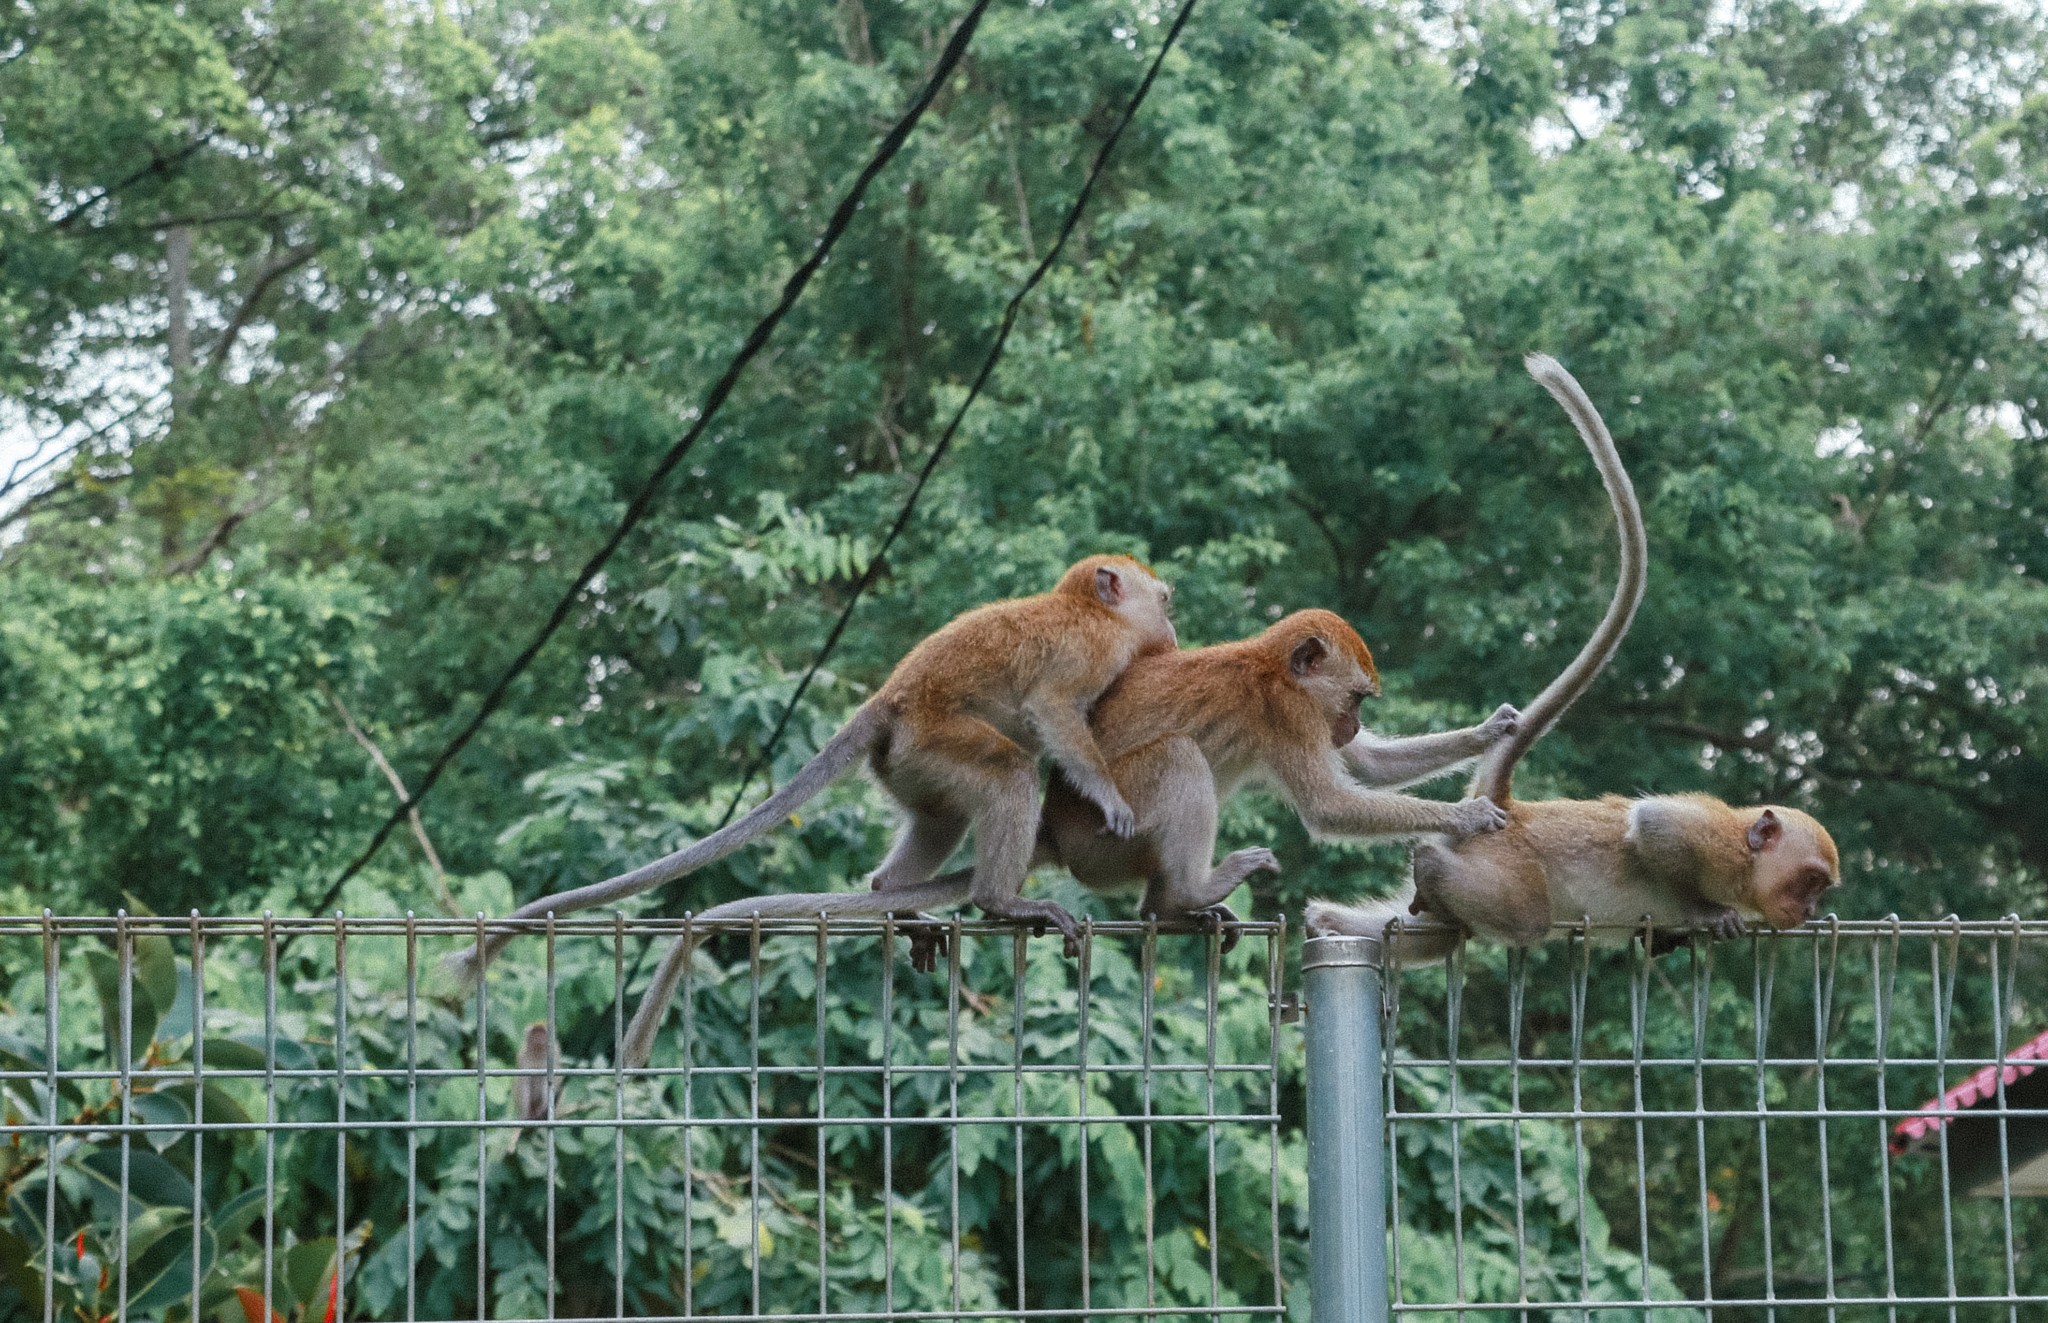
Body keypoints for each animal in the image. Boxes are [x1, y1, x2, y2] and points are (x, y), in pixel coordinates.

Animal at [448, 552, 1187, 995]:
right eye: (1166, 602)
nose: (1175, 634)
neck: (1087, 610)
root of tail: (889, 699)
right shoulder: (1092, 651)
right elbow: (1052, 712)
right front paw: (1109, 798)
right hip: (934, 738)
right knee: (1009, 770)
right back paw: (1000, 900)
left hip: (911, 760)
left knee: (942, 814)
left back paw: (895, 894)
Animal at [1302, 358, 1851, 970]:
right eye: (1809, 882)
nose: (1807, 910)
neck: (1745, 863)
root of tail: (1506, 808)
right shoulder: (1712, 841)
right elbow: (1652, 826)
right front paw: (1706, 912)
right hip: (1505, 864)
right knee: (1521, 919)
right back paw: (1431, 865)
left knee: (1435, 933)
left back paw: (1333, 920)